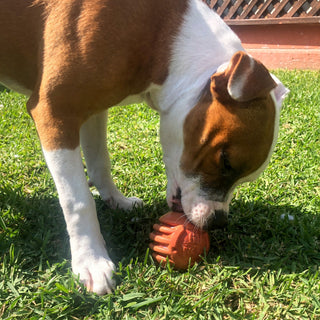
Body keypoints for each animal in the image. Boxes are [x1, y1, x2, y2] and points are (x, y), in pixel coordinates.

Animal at [0, 0, 288, 296]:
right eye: (225, 161)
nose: (218, 221)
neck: (159, 35)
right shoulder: (56, 112)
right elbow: (77, 199)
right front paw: (91, 259)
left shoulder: (93, 110)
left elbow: (100, 162)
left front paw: (116, 200)